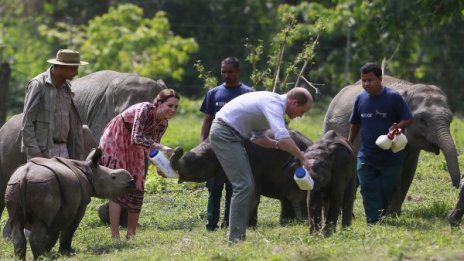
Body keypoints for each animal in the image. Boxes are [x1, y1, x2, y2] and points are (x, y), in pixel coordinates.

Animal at [4, 147, 134, 258]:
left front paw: (50, 251)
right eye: (113, 177)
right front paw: (68, 252)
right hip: (43, 184)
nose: (132, 181)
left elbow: (54, 232)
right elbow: (70, 229)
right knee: (41, 223)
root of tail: (24, 176)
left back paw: (23, 258)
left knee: (16, 221)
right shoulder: (80, 205)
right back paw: (44, 258)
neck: (90, 172)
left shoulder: (62, 209)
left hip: (14, 185)